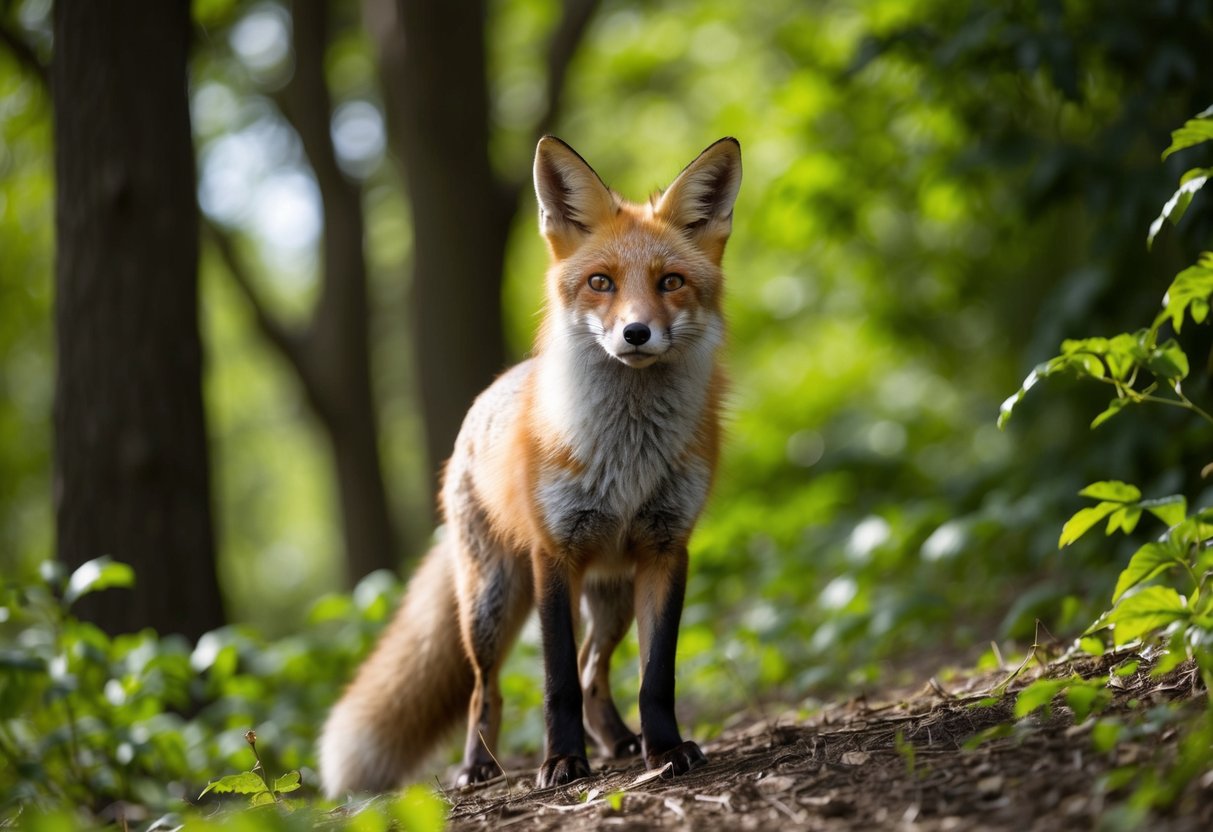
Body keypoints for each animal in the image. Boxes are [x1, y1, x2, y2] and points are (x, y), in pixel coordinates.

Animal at [318, 135, 742, 796]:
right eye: (601, 281)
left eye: (671, 281)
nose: (636, 332)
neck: (626, 453)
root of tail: (487, 397)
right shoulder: (554, 555)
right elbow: (555, 681)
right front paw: (563, 763)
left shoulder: (666, 549)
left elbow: (655, 676)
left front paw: (666, 749)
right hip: (493, 602)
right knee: (484, 690)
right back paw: (478, 767)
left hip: (613, 594)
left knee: (595, 671)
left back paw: (621, 742)